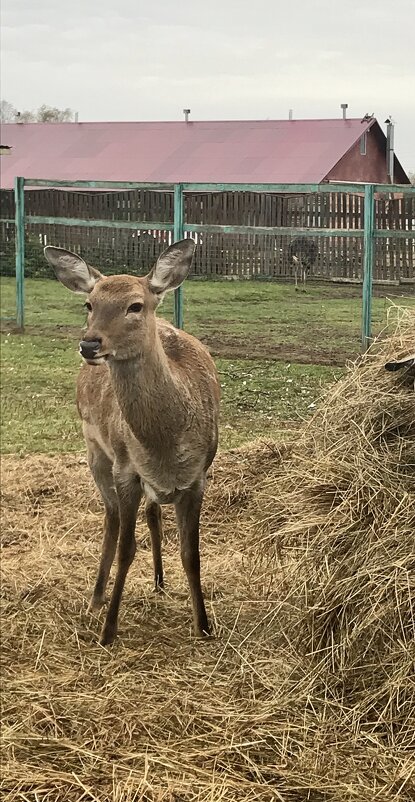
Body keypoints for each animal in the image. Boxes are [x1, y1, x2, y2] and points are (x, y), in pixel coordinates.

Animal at [44, 239, 221, 644]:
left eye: (135, 306)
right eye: (89, 304)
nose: (89, 344)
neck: (165, 446)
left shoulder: (198, 477)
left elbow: (192, 554)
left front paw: (204, 626)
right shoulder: (126, 470)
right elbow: (127, 549)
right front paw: (108, 630)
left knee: (152, 513)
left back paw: (159, 581)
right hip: (95, 450)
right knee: (110, 517)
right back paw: (96, 596)